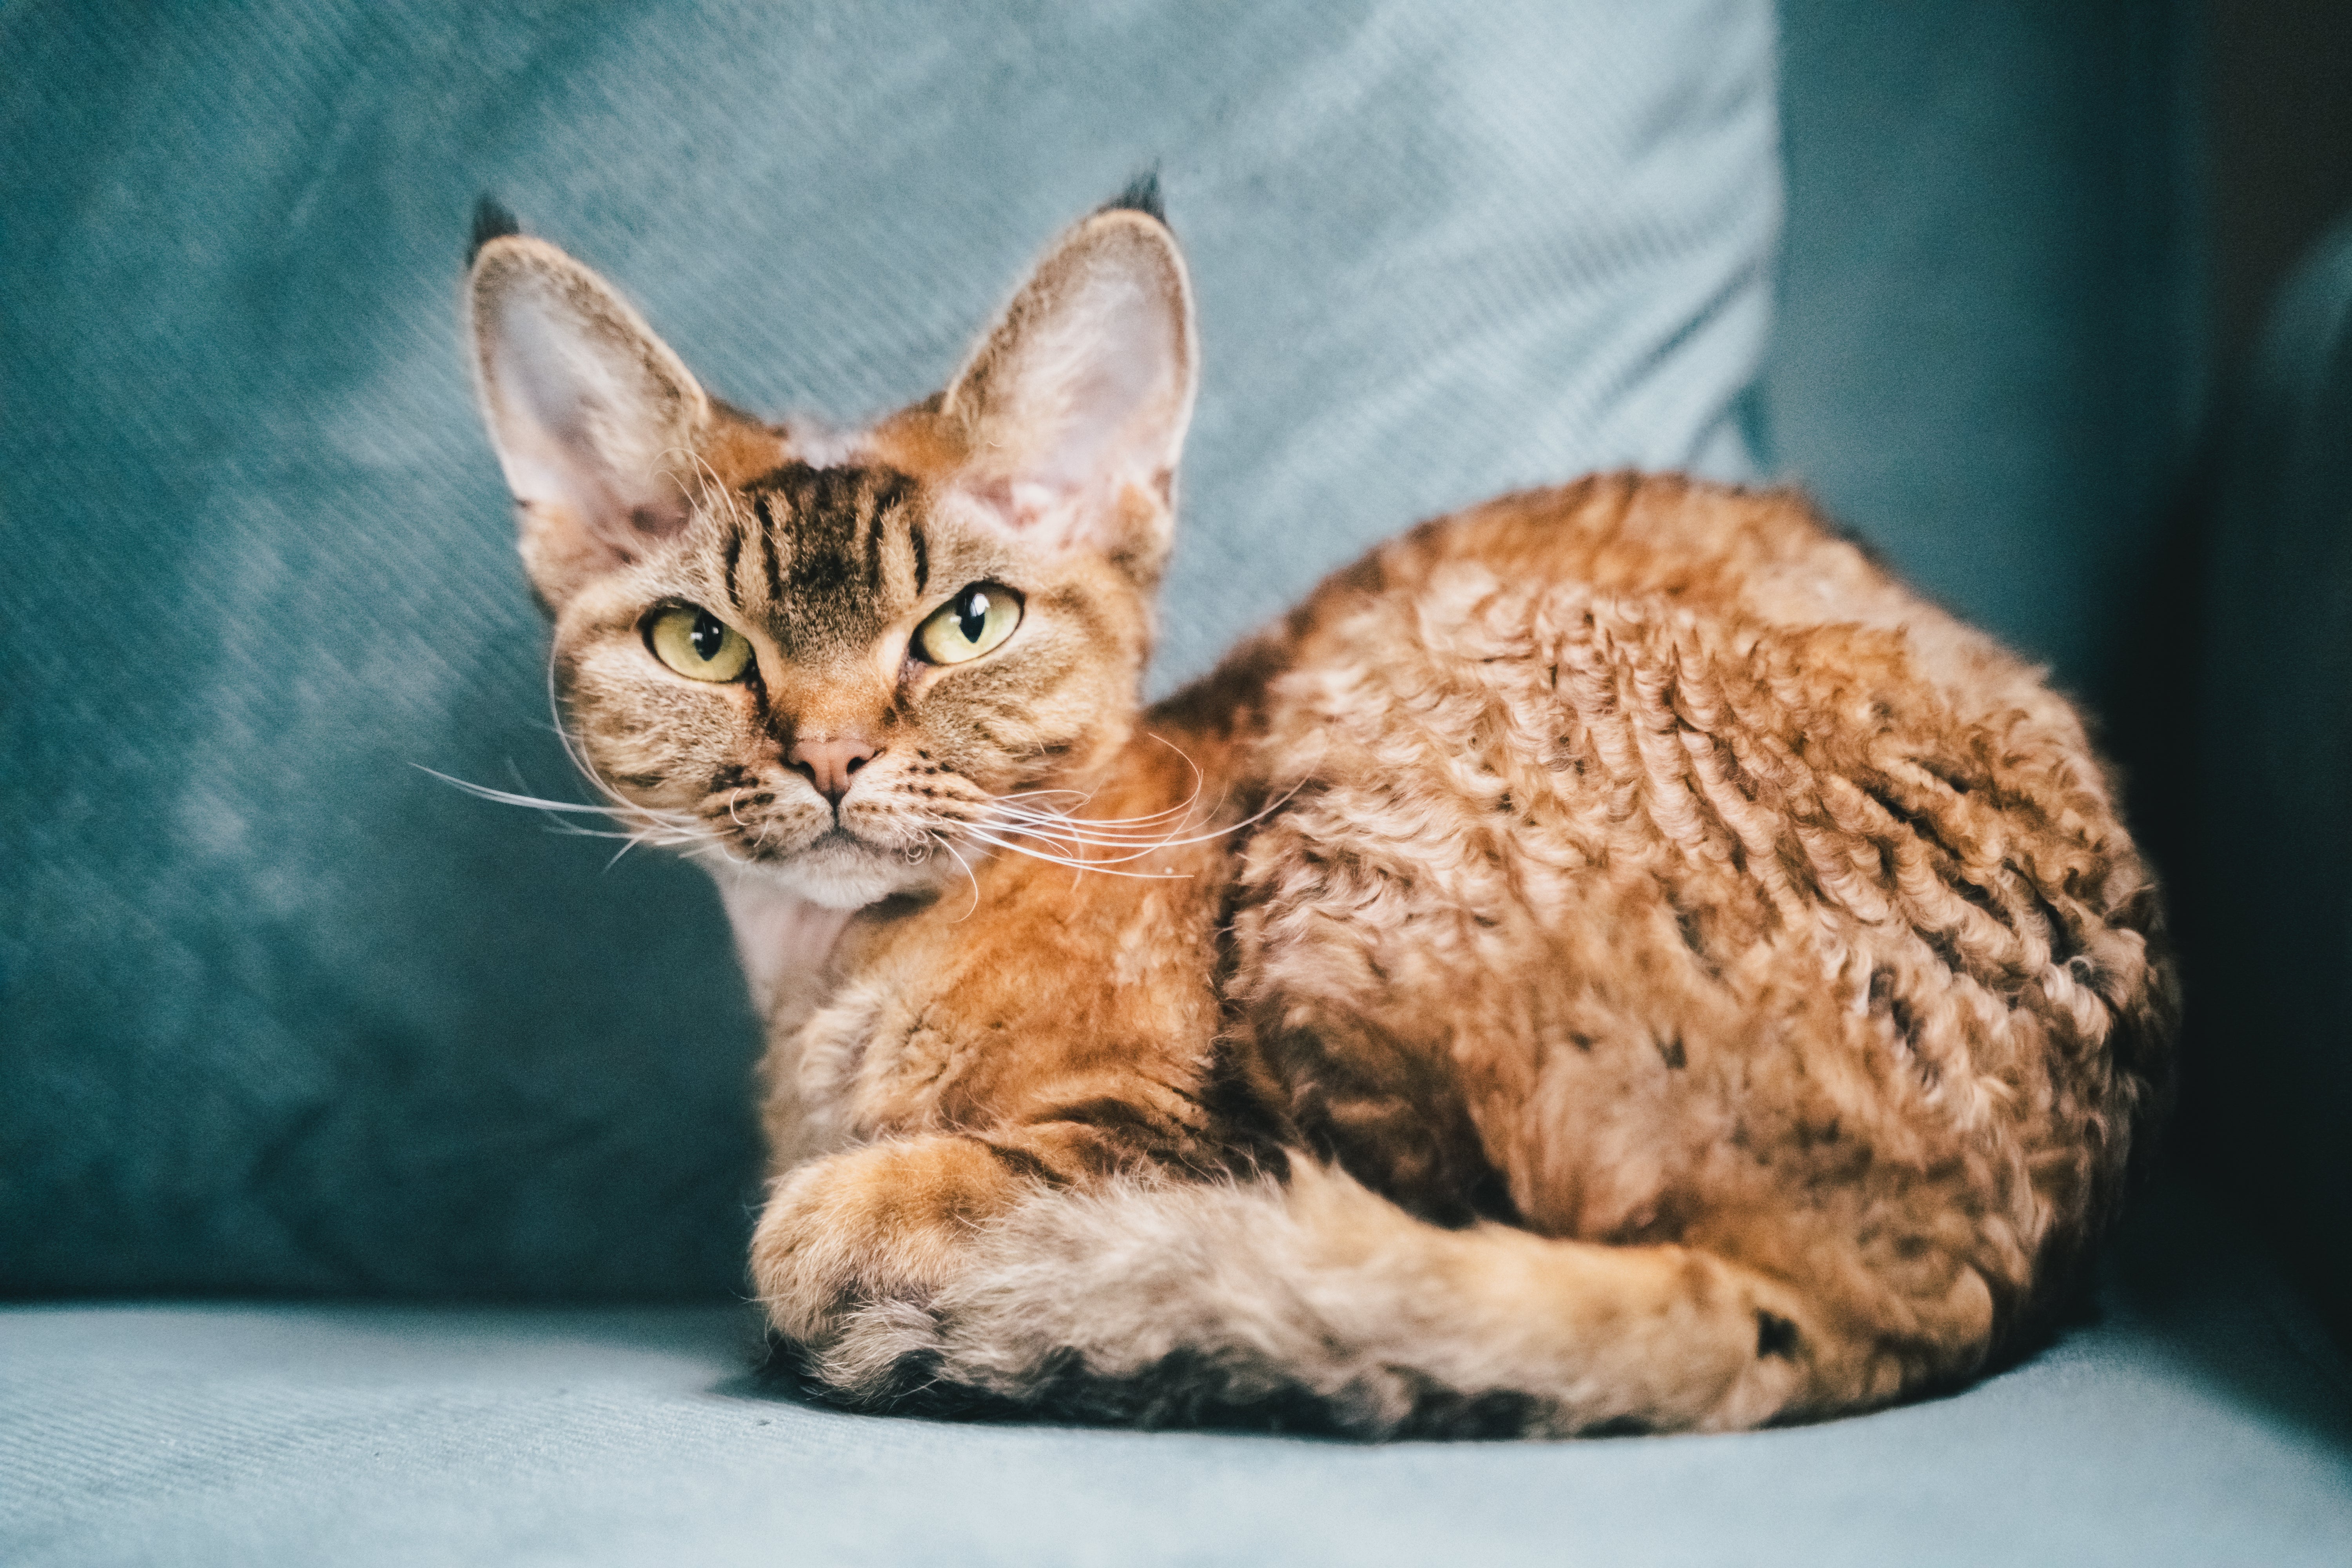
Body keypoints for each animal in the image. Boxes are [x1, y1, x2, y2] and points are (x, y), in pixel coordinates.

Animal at [468, 184, 2173, 1439]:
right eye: (700, 644)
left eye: (968, 624)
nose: (827, 755)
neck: (829, 981)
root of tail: (1944, 1291)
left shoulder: (1202, 1130)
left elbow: (886, 1205)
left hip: (1405, 698)